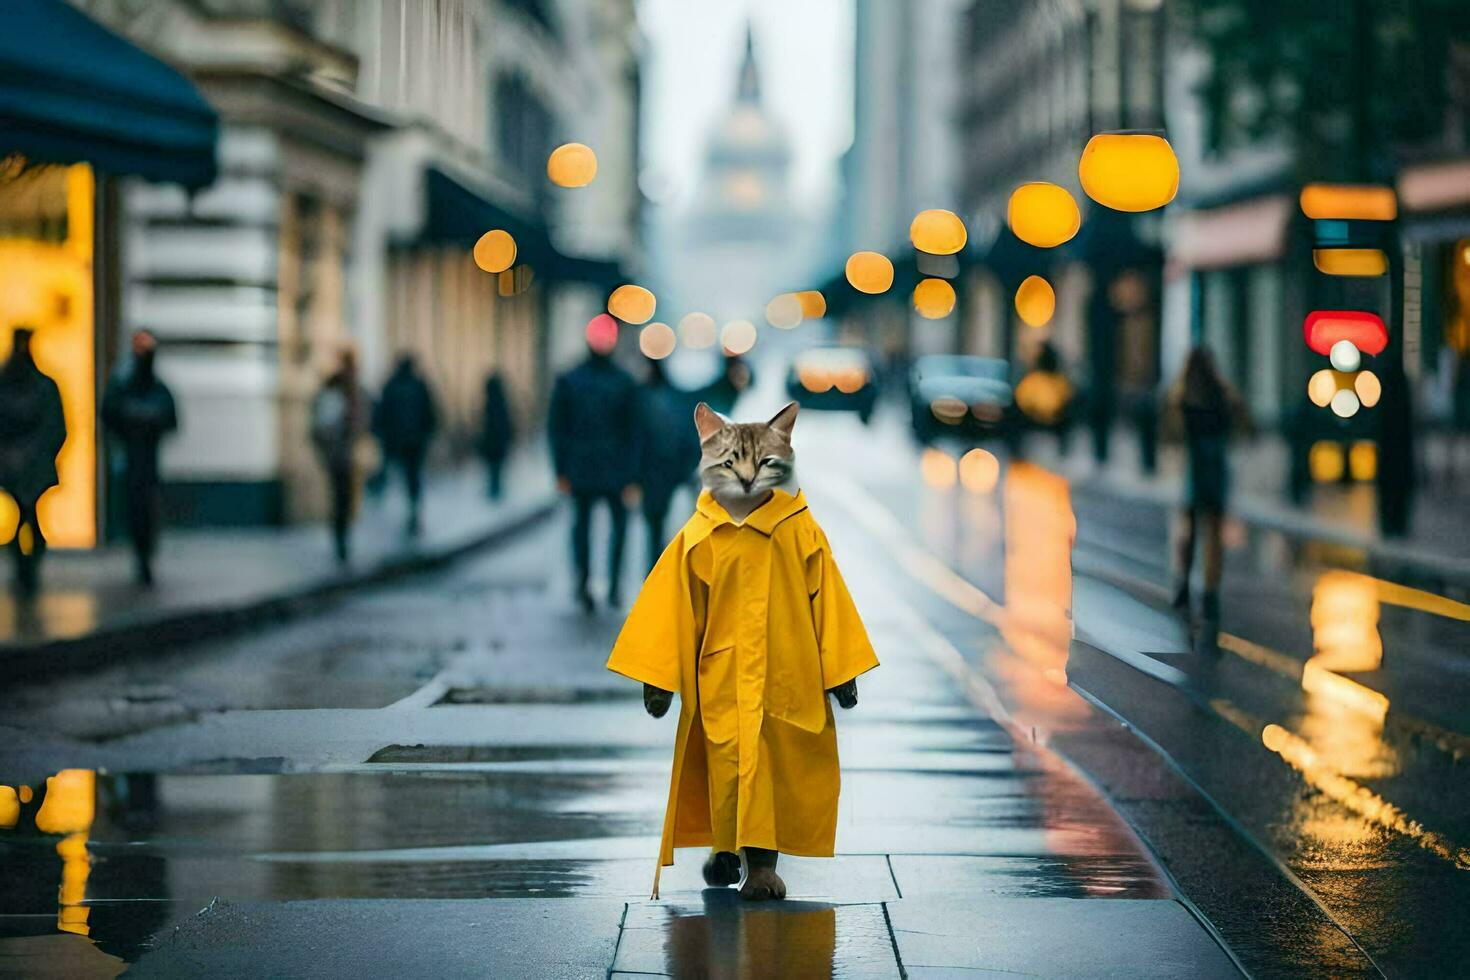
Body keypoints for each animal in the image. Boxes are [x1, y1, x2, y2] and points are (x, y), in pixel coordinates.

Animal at [643, 402, 858, 899]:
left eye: (766, 462)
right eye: (727, 462)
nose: (745, 481)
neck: (743, 518)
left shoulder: (815, 552)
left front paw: (760, 869)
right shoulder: (681, 558)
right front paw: (656, 696)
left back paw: (756, 873)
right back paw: (724, 860)